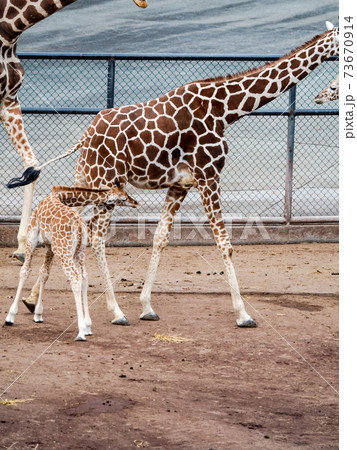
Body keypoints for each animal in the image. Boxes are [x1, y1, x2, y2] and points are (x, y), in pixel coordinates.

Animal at [5, 185, 139, 340]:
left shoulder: (33, 238)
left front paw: (10, 316)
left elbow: (25, 271)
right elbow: (44, 273)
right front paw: (38, 314)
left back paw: (81, 331)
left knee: (75, 278)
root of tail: (79, 226)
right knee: (84, 277)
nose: (136, 202)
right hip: (78, 252)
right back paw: (87, 326)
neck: (60, 196)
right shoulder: (49, 246)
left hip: (64, 252)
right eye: (123, 197)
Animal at [12, 22, 338, 326]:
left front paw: (146, 306)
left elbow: (160, 238)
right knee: (96, 235)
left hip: (87, 177)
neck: (226, 110)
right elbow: (225, 243)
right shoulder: (209, 175)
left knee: (67, 219)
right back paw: (115, 311)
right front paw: (243, 314)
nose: (323, 95)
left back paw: (33, 301)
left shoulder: (181, 185)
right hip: (105, 182)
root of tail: (85, 135)